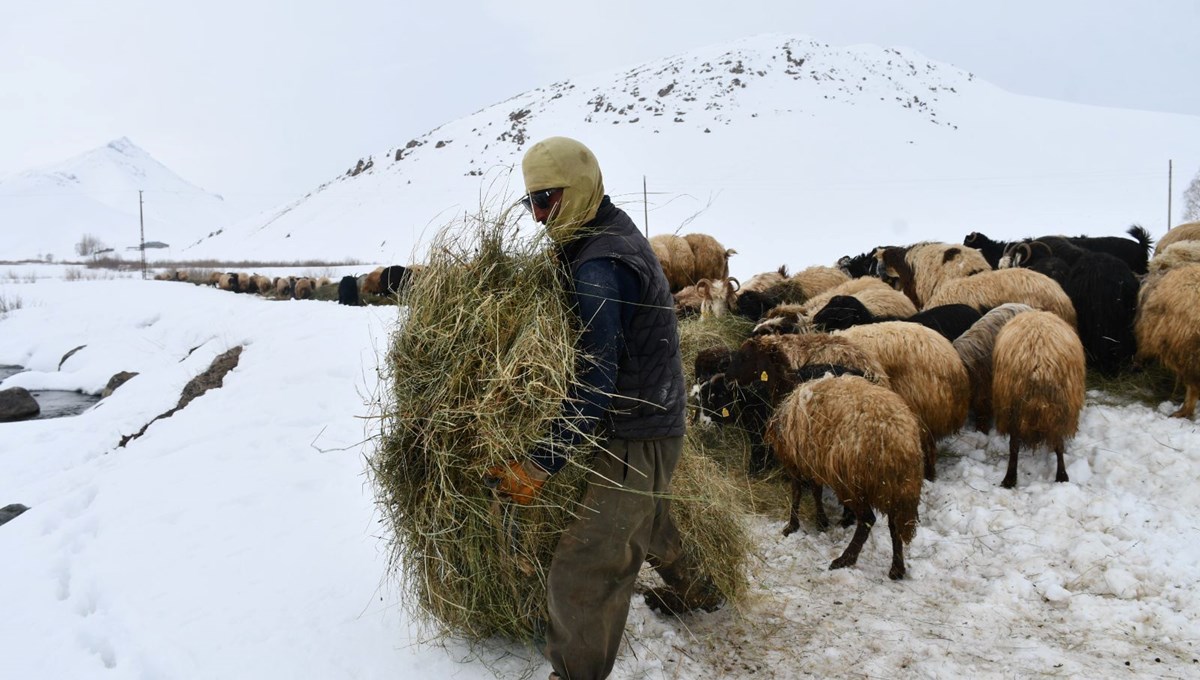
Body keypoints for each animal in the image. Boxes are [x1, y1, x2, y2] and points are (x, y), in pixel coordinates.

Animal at [763, 374, 921, 582]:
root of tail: (900, 444)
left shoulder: (794, 460)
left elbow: (797, 493)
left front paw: (791, 526)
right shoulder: (813, 461)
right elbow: (816, 490)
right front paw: (821, 520)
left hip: (853, 483)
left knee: (867, 520)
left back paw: (844, 559)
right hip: (892, 490)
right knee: (894, 526)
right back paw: (896, 569)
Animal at [993, 311, 1089, 486]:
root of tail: (1040, 362)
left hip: (1015, 406)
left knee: (1014, 445)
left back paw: (1010, 478)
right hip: (1054, 407)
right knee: (1056, 444)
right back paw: (1061, 476)